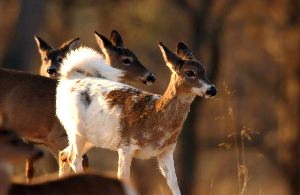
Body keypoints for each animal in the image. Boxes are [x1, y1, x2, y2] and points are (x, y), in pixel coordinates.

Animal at [55, 41, 216, 195]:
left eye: (204, 70)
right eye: (189, 72)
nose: (212, 89)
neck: (155, 118)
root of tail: (69, 79)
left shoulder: (167, 151)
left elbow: (174, 185)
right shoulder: (126, 146)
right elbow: (123, 178)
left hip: (91, 138)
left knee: (63, 155)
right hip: (75, 130)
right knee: (73, 159)